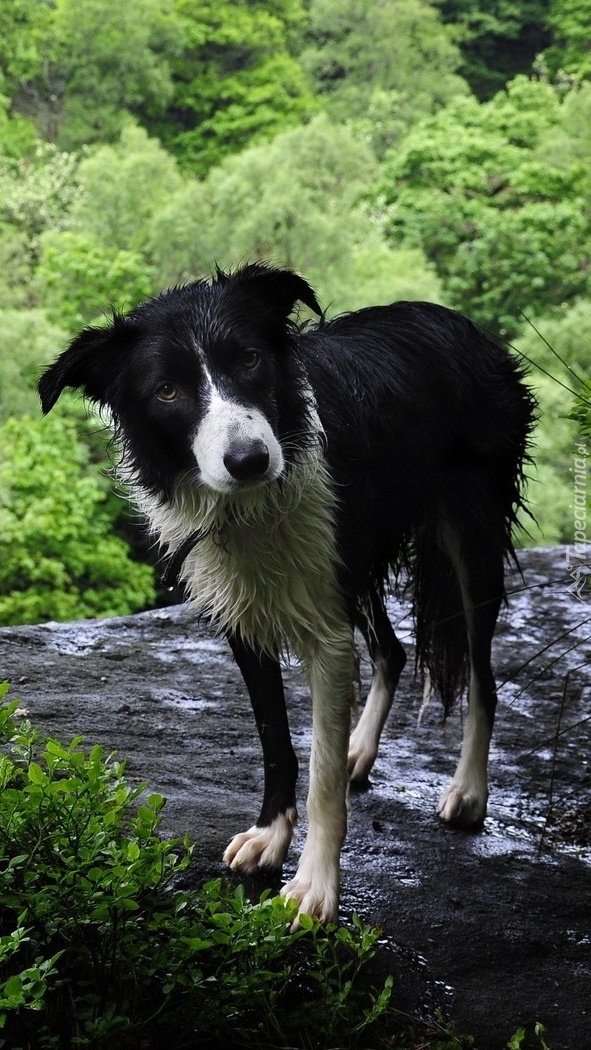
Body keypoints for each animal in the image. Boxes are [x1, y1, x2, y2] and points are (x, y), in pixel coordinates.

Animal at [38, 264, 537, 928]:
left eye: (250, 359)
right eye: (166, 391)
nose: (249, 460)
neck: (251, 507)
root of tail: (462, 323)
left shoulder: (327, 630)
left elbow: (321, 774)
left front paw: (314, 885)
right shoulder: (243, 616)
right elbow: (275, 736)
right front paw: (271, 834)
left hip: (467, 541)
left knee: (483, 675)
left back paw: (468, 791)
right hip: (354, 559)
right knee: (394, 649)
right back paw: (362, 750)